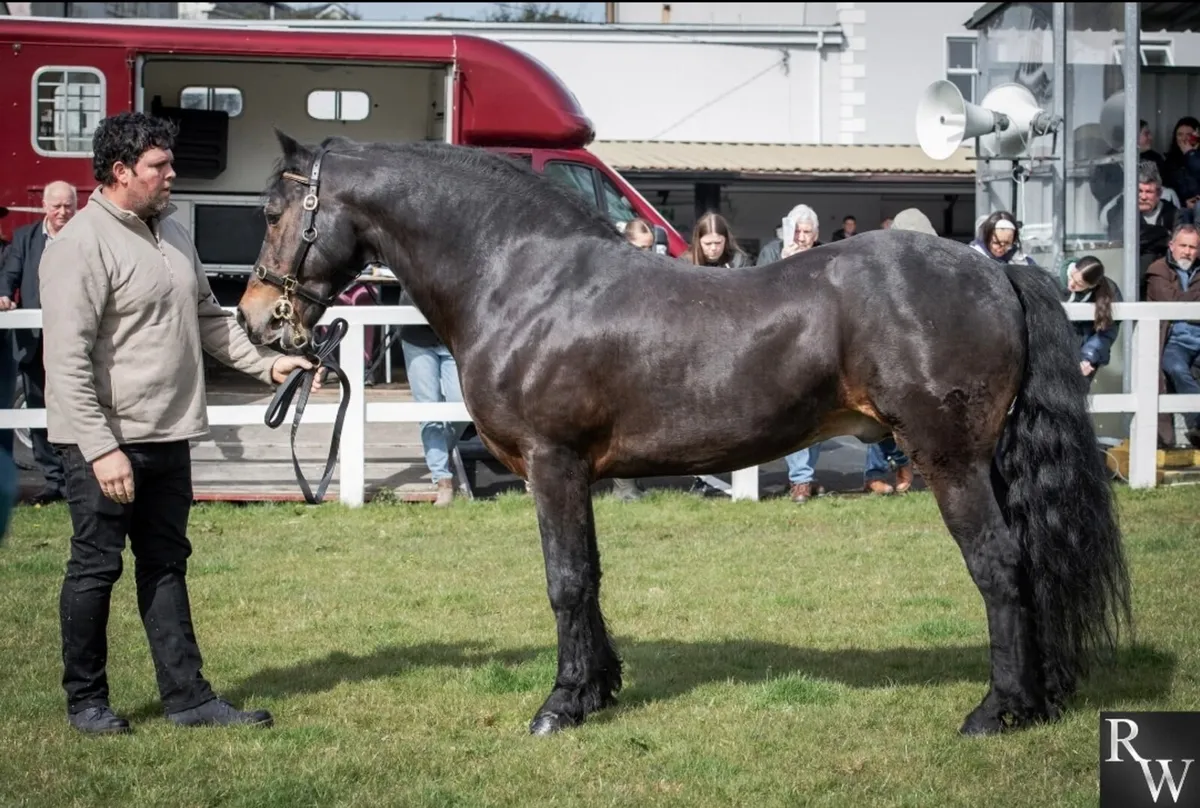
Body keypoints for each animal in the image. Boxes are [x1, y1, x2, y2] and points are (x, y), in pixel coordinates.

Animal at [235, 130, 1132, 738]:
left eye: (276, 211)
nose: (257, 317)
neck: (523, 277)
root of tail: (994, 266)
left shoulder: (552, 464)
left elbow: (565, 580)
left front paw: (561, 705)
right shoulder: (576, 472)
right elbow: (591, 576)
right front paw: (599, 689)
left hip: (950, 460)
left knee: (1000, 566)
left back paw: (997, 709)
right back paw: (1038, 699)